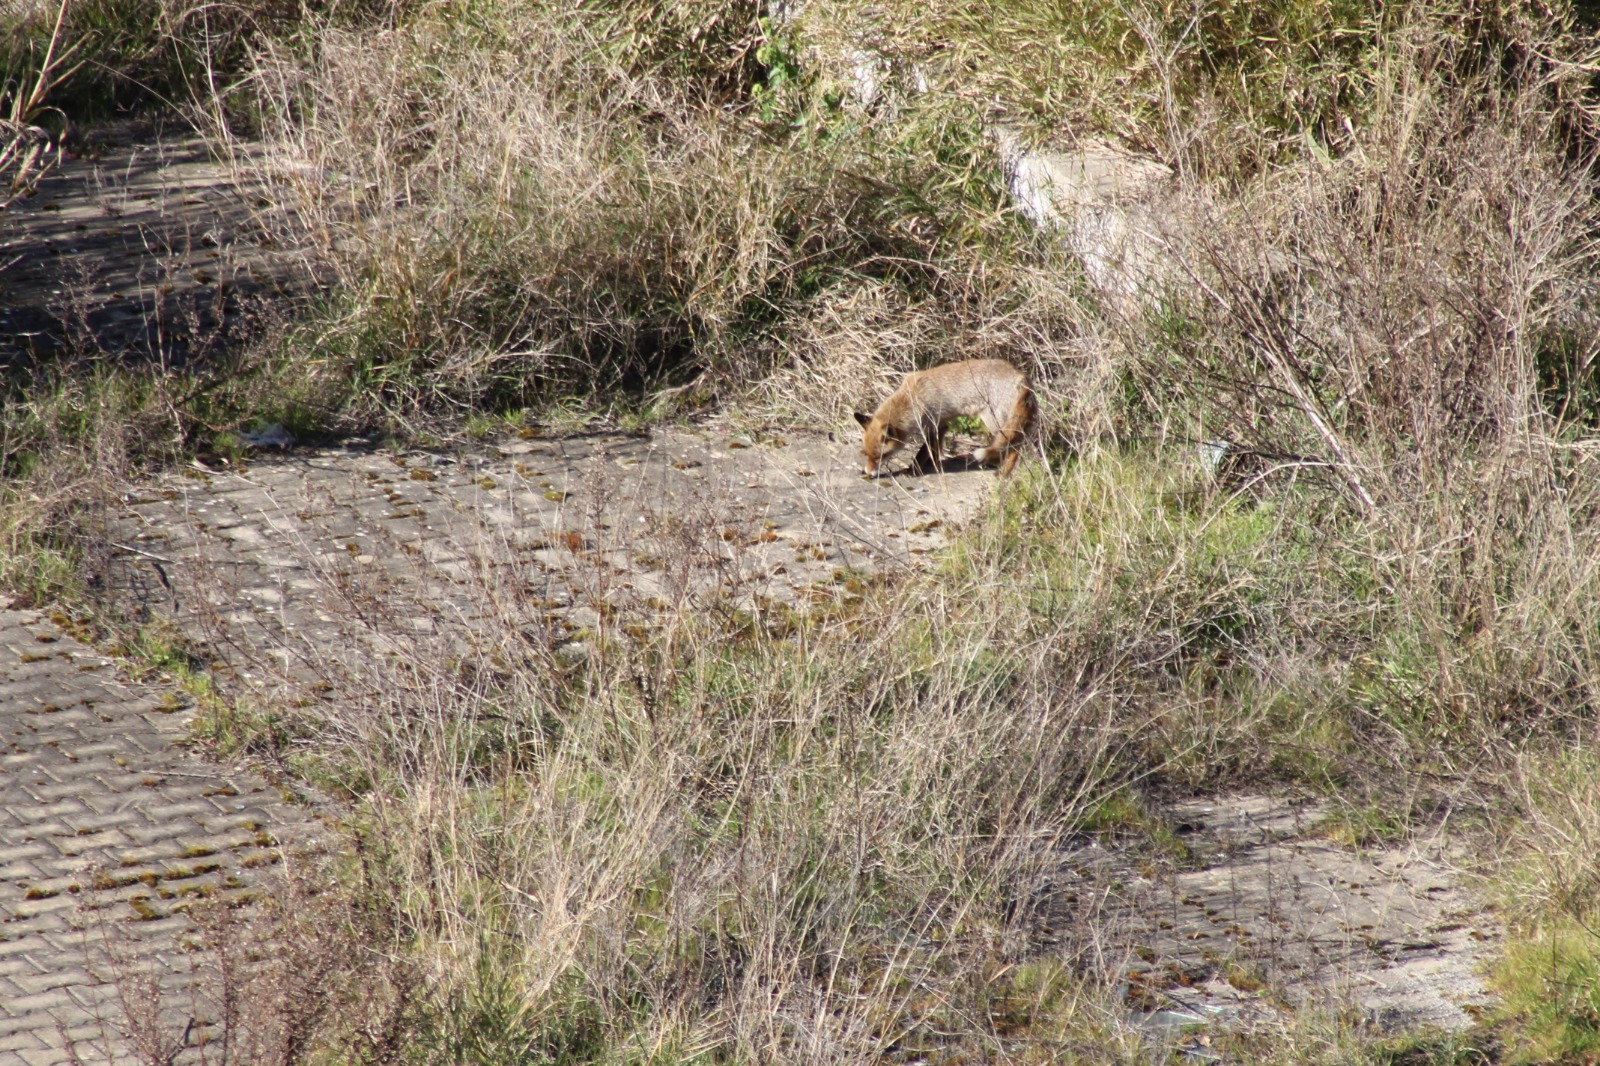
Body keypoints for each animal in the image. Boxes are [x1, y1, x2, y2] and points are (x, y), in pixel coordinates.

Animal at [851, 356, 1036, 473]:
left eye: (881, 456)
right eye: (867, 455)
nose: (867, 472)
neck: (913, 398)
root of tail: (1020, 375)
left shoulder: (936, 424)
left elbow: (924, 451)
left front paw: (913, 470)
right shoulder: (940, 426)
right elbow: (932, 451)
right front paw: (930, 466)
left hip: (995, 421)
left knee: (1016, 448)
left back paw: (1004, 474)